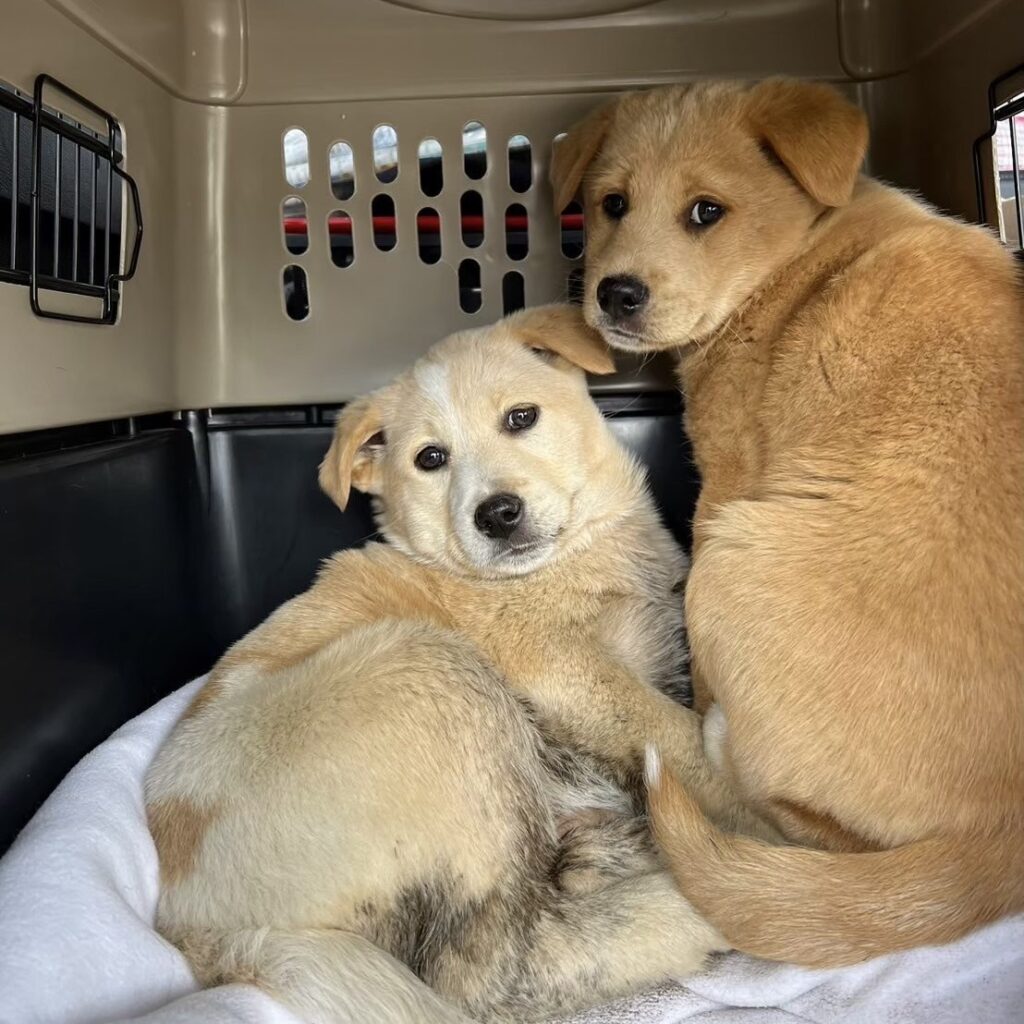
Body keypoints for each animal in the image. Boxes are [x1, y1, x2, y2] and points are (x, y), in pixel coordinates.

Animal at [145, 305, 735, 1024]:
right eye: (430, 459)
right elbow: (673, 734)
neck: (574, 563)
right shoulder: (562, 669)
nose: (498, 515)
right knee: (495, 969)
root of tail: (204, 931)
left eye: (520, 417)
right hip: (436, 676)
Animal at [551, 77, 1024, 968]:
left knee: (806, 827)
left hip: (734, 567)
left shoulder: (723, 485)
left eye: (706, 212)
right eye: (611, 204)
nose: (614, 294)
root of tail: (1004, 835)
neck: (796, 259)